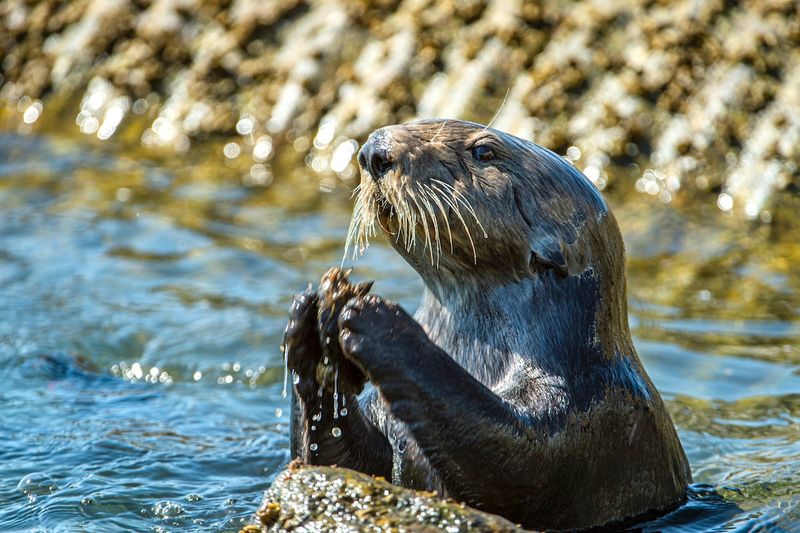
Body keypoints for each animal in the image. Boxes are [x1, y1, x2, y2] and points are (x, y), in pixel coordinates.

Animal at [284, 118, 692, 528]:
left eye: (483, 151)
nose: (373, 152)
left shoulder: (592, 411)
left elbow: (514, 459)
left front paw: (381, 325)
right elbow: (340, 462)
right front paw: (309, 329)